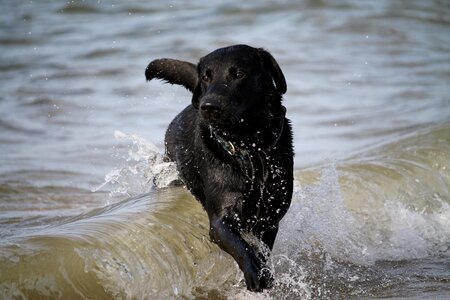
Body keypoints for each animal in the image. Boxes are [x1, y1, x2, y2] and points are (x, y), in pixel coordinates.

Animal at [145, 44, 296, 290]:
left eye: (239, 74)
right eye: (206, 77)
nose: (208, 106)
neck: (249, 147)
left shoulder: (270, 219)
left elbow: (262, 249)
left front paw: (263, 270)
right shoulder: (219, 221)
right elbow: (241, 246)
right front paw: (255, 273)